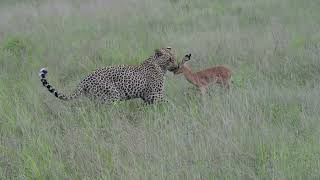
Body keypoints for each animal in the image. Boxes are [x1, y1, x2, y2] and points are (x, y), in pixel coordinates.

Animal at [38, 47, 179, 104]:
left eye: (175, 57)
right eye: (170, 59)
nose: (177, 66)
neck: (159, 66)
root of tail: (84, 80)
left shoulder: (148, 96)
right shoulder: (154, 93)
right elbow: (167, 102)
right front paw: (175, 108)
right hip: (112, 94)